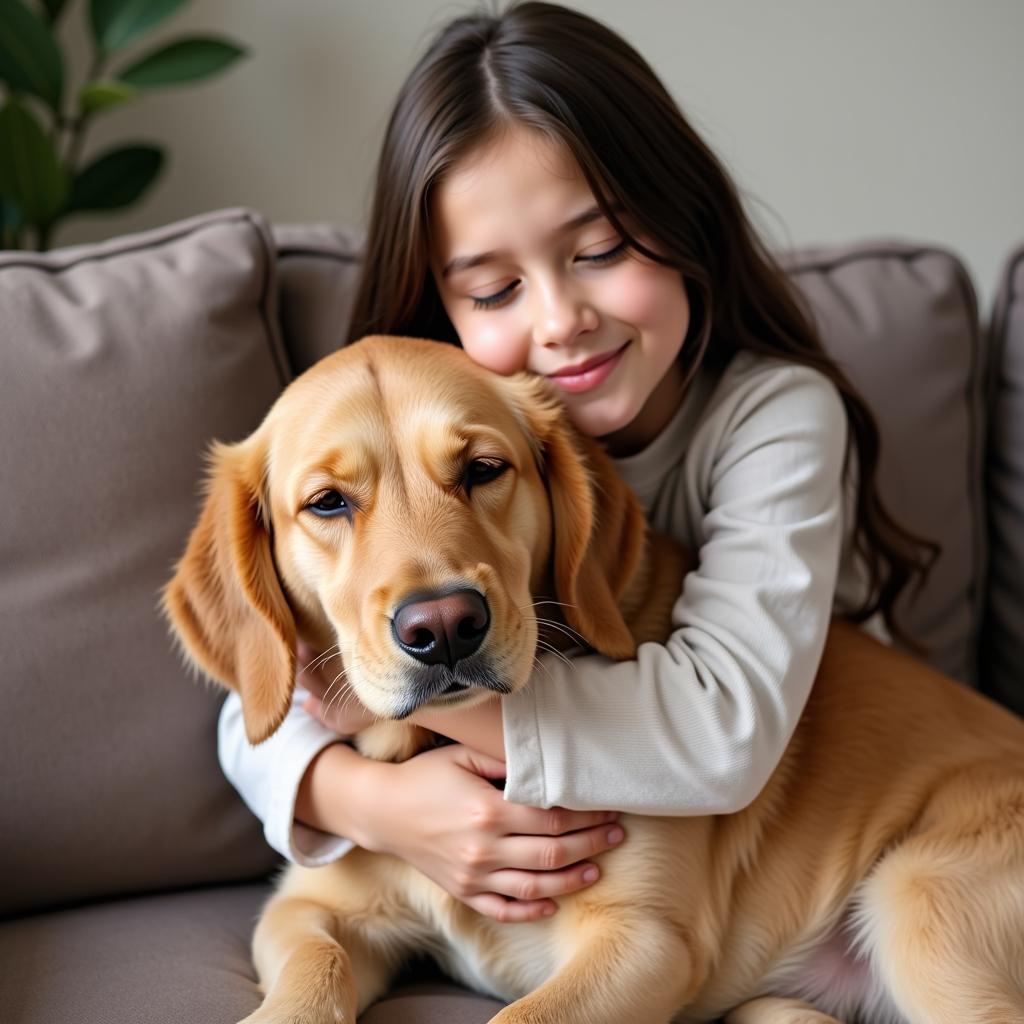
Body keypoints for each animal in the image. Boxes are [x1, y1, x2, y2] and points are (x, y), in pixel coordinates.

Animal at [163, 335, 1024, 1024]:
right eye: (327, 503)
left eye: (483, 469)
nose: (443, 627)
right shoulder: (306, 909)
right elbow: (315, 971)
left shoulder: (642, 938)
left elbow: (522, 1017)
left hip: (920, 901)